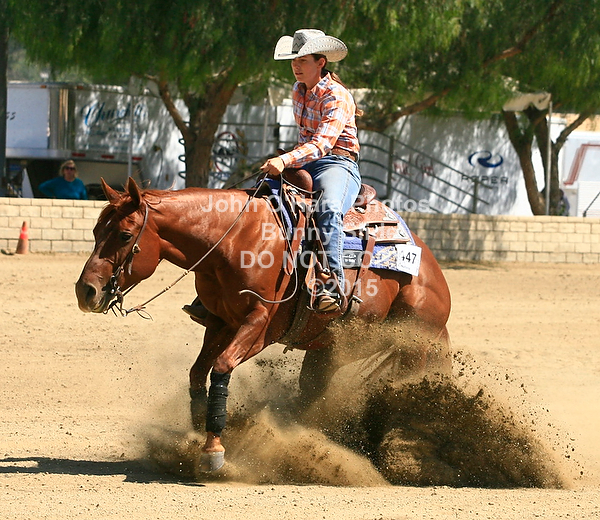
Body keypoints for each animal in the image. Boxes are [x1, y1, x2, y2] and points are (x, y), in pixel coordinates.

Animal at [75, 177, 451, 472]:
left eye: (125, 235)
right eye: (95, 231)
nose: (86, 291)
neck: (234, 239)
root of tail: (432, 270)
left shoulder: (259, 326)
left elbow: (221, 367)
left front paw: (213, 450)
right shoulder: (220, 323)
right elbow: (198, 374)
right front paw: (196, 436)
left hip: (409, 347)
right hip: (326, 353)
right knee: (312, 395)